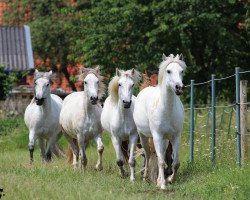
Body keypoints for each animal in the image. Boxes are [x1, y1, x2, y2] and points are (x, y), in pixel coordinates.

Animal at [134, 53, 187, 189]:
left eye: (181, 71)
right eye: (168, 71)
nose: (179, 88)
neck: (167, 109)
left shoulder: (176, 136)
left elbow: (175, 162)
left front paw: (170, 179)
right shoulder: (157, 136)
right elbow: (161, 161)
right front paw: (163, 185)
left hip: (165, 139)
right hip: (144, 136)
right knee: (148, 155)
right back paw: (145, 177)